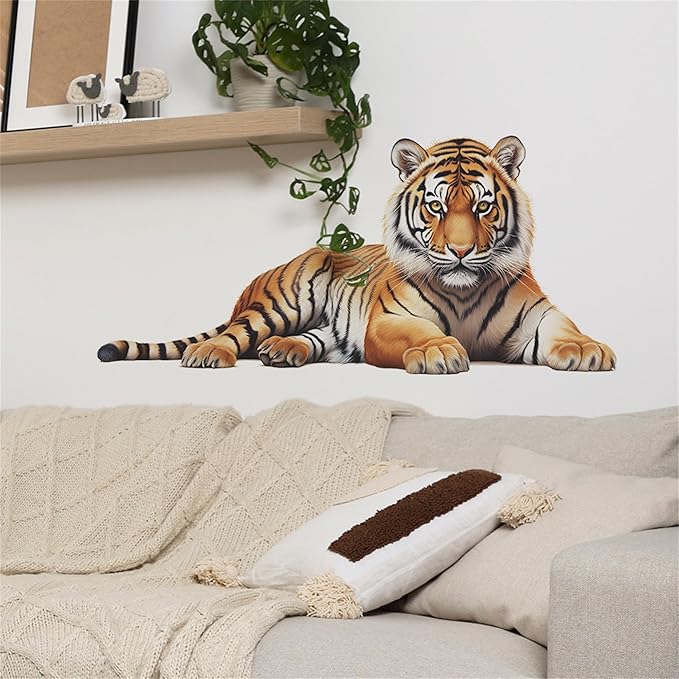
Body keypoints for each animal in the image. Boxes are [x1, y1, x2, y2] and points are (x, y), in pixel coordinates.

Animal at [98, 135, 615, 374]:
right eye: (436, 206)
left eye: (483, 206)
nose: (461, 251)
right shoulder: (387, 322)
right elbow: (419, 333)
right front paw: (439, 351)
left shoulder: (538, 314)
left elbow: (564, 327)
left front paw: (586, 349)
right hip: (283, 300)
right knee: (234, 333)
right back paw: (210, 354)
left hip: (326, 329)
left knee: (316, 339)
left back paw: (281, 351)